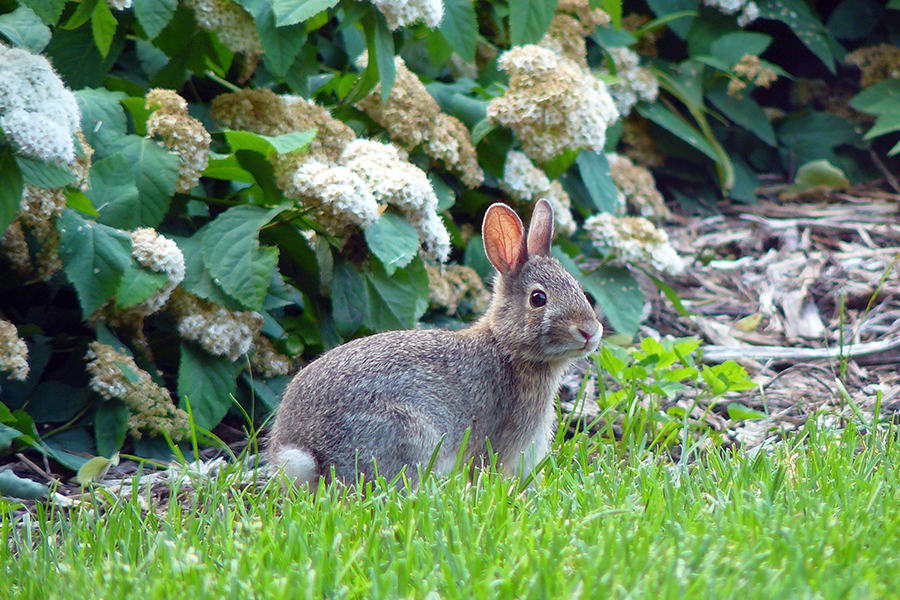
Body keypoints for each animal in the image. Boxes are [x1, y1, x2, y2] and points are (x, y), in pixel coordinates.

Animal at [268, 198, 602, 490]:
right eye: (538, 298)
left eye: (579, 289)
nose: (590, 331)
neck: (506, 348)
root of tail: (308, 452)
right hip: (408, 433)